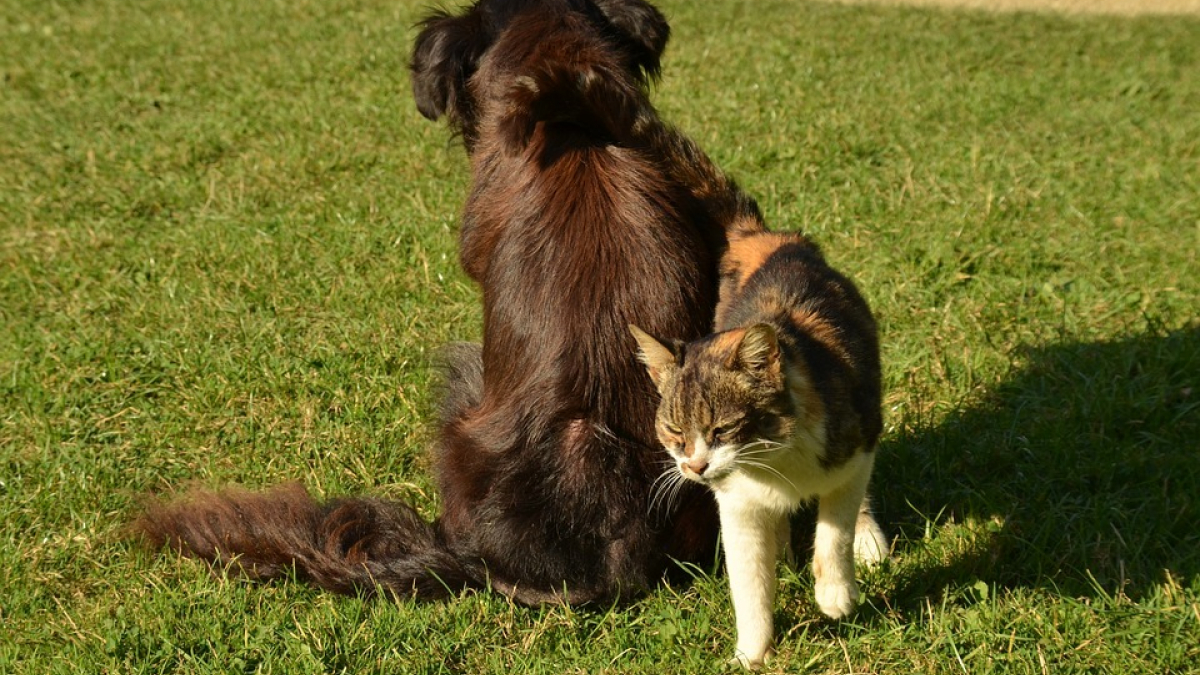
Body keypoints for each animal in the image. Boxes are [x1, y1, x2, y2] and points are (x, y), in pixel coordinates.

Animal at [633, 227, 888, 667]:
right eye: (674, 431)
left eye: (722, 429)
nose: (695, 467)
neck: (774, 459)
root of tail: (769, 237)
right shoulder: (737, 504)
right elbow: (748, 581)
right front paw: (750, 654)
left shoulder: (855, 449)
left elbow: (834, 526)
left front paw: (835, 594)